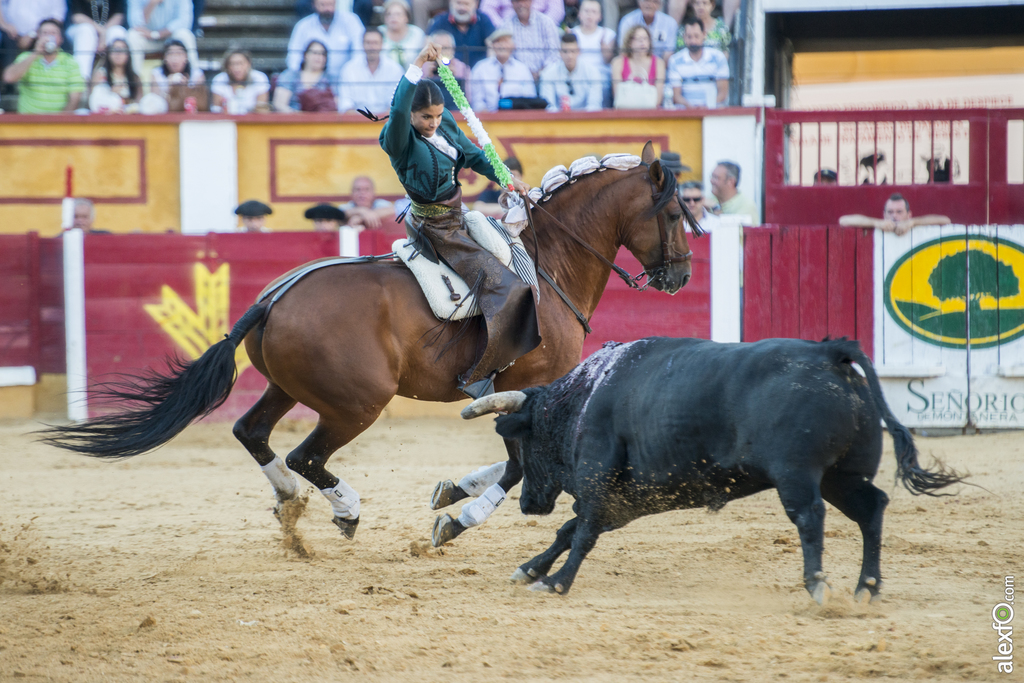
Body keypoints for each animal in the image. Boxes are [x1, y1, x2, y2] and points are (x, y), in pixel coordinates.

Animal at [39, 143, 696, 544]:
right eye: (673, 216)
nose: (682, 275)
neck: (550, 262)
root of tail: (275, 297)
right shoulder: (531, 387)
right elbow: (518, 462)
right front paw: (458, 519)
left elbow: (514, 460)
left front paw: (452, 491)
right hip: (358, 402)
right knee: (306, 456)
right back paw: (344, 510)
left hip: (287, 387)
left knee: (252, 433)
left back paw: (290, 505)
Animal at [460, 339, 962, 602]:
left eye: (521, 441)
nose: (527, 503)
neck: (584, 396)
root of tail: (829, 352)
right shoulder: (624, 500)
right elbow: (572, 529)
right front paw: (530, 570)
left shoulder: (597, 479)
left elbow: (580, 533)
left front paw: (557, 582)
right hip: (843, 476)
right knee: (872, 508)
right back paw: (866, 588)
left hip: (798, 475)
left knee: (810, 517)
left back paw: (817, 586)